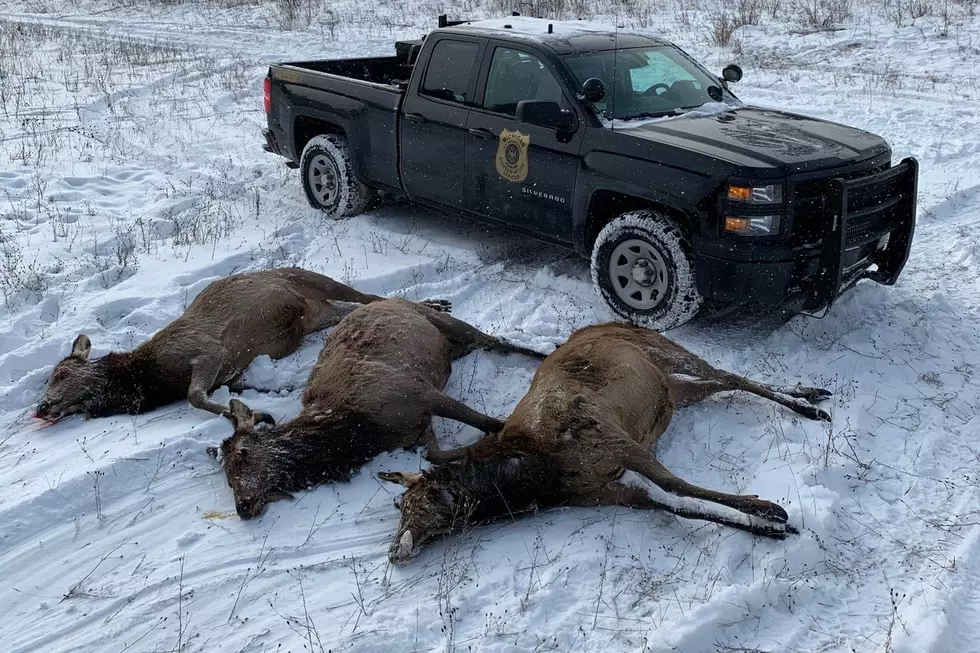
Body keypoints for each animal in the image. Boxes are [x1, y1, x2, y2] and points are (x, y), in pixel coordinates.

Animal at [34, 268, 452, 426]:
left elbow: (195, 397)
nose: (41, 407)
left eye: (62, 372)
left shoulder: (207, 352)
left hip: (314, 279)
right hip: (322, 311)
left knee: (368, 295)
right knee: (354, 306)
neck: (153, 377)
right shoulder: (232, 374)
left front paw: (248, 414)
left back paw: (436, 304)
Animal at [212, 296, 544, 520]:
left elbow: (489, 423)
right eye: (227, 479)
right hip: (452, 349)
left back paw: (546, 351)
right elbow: (436, 455)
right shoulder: (420, 429)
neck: (365, 430)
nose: (242, 507)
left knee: (496, 340)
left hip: (446, 325)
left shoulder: (419, 392)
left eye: (242, 455)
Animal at [378, 318, 832, 564]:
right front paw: (770, 530)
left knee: (726, 373)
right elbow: (676, 505)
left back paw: (810, 404)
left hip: (662, 348)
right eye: (399, 508)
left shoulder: (614, 440)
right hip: (673, 392)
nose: (393, 553)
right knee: (716, 384)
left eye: (411, 505)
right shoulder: (610, 491)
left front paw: (770, 510)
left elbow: (676, 486)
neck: (539, 476)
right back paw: (809, 394)